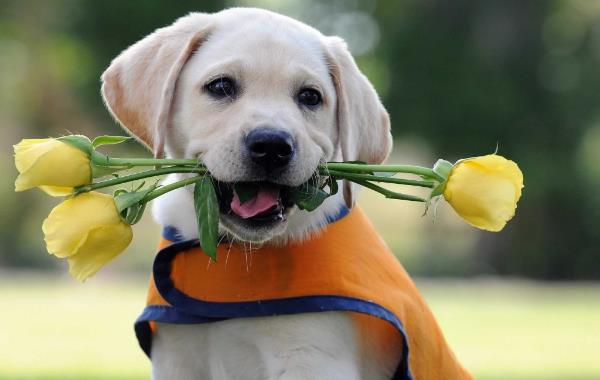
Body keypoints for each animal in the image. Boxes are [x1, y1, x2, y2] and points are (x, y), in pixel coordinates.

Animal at [101, 6, 472, 380]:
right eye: (220, 86)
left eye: (310, 97)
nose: (272, 146)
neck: (242, 254)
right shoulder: (177, 358)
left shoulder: (311, 358)